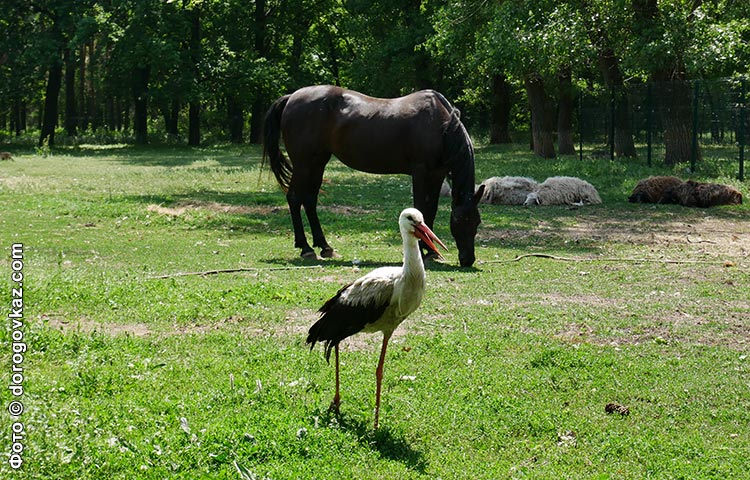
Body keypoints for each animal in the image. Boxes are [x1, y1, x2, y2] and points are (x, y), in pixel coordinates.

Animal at [264, 85, 488, 266]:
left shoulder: (437, 174)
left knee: (309, 200)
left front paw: (430, 251)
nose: (468, 260)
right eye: (459, 221)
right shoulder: (421, 172)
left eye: (476, 222)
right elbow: (421, 208)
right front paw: (424, 250)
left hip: (317, 162)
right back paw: (305, 248)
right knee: (294, 198)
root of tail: (292, 97)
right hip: (303, 164)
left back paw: (324, 247)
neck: (441, 125)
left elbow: (430, 210)